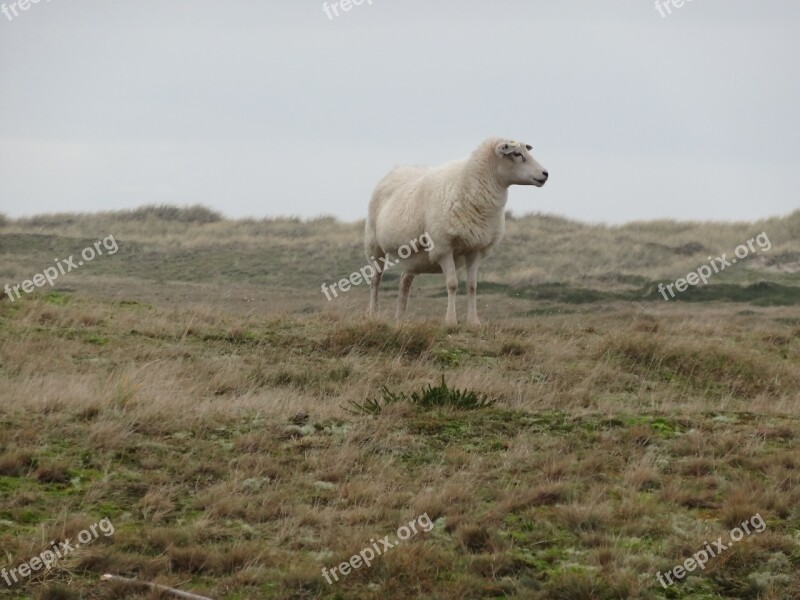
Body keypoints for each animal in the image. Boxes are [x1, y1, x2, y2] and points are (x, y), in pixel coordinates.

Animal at [364, 137, 548, 326]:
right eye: (517, 154)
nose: (545, 174)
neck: (468, 184)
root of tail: (397, 169)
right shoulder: (443, 247)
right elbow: (452, 284)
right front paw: (451, 321)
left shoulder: (475, 249)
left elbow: (472, 286)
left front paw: (474, 322)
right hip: (373, 244)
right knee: (376, 279)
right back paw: (373, 314)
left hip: (412, 256)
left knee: (404, 281)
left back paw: (400, 318)